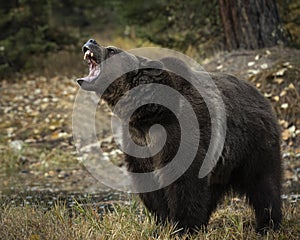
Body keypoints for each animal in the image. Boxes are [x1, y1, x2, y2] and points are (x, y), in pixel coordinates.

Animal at [77, 39, 282, 234]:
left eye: (111, 49)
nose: (91, 41)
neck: (149, 114)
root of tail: (261, 95)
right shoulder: (138, 140)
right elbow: (149, 182)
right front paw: (162, 224)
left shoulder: (182, 131)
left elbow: (184, 181)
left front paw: (183, 227)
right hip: (222, 163)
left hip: (253, 143)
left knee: (264, 183)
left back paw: (268, 224)